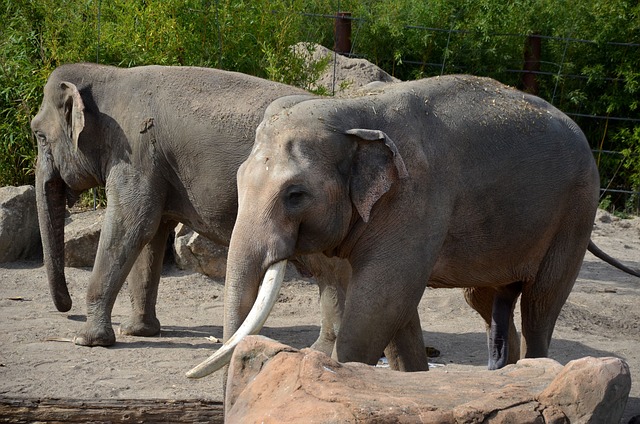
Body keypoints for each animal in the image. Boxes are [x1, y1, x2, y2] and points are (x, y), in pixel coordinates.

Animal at [30, 62, 350, 348]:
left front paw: (87, 341)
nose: (67, 307)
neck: (108, 74)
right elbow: (152, 236)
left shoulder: (135, 156)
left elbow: (131, 226)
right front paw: (139, 331)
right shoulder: (154, 166)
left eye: (39, 135)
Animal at [189, 73, 640, 378]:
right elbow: (395, 307)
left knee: (542, 302)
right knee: (484, 297)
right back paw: (502, 371)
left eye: (295, 194)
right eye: (239, 178)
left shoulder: (415, 198)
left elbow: (382, 299)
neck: (353, 111)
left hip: (576, 212)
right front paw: (414, 378)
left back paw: (533, 368)